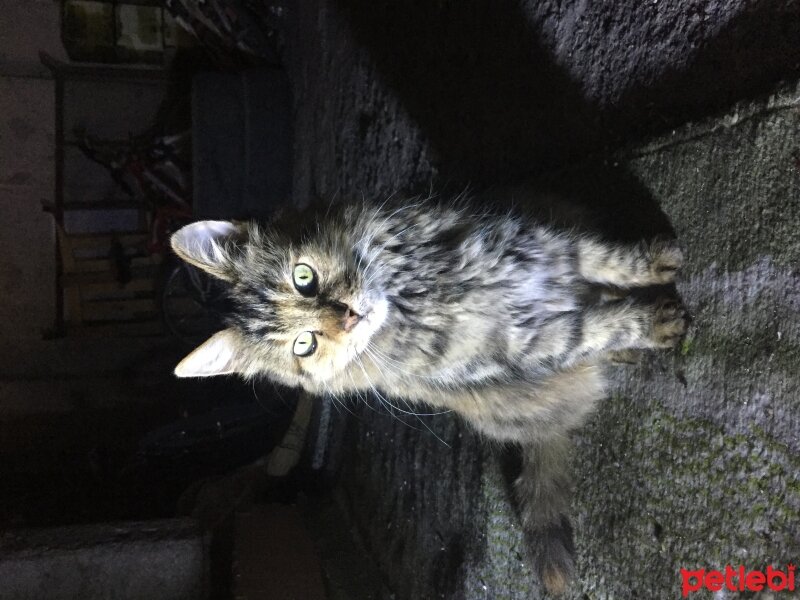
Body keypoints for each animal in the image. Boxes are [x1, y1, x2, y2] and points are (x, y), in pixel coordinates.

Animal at [170, 198, 688, 596]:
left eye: (304, 278)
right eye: (305, 345)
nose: (349, 317)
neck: (417, 295)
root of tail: (546, 427)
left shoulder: (539, 244)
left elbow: (606, 259)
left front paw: (655, 262)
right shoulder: (532, 343)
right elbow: (599, 327)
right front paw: (653, 323)